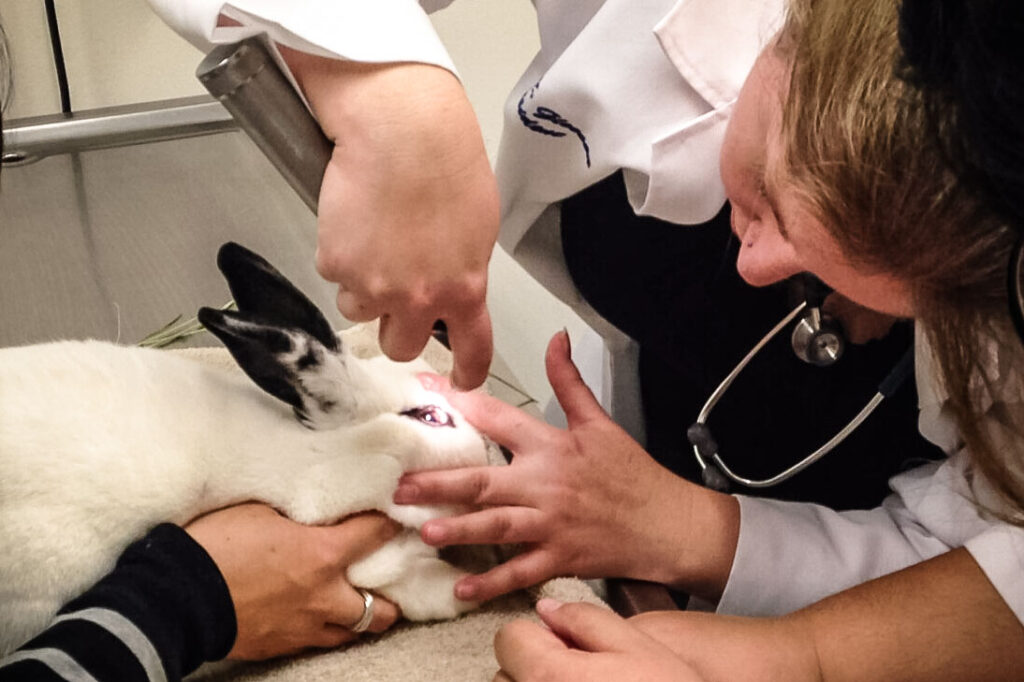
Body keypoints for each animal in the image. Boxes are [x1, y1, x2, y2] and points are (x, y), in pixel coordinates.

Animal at [0, 242, 491, 655]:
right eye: (429, 417)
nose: (488, 455)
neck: (317, 455)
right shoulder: (368, 560)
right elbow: (429, 588)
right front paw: (471, 585)